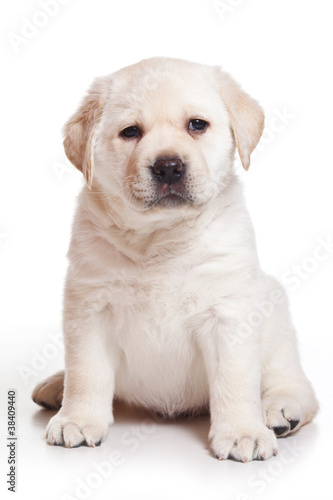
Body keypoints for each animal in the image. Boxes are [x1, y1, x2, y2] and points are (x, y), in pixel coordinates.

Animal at [32, 57, 318, 460]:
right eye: (130, 132)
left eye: (197, 125)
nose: (168, 166)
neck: (160, 237)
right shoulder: (89, 306)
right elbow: (86, 371)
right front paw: (79, 418)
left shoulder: (229, 312)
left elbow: (235, 378)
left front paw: (242, 432)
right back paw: (56, 387)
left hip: (276, 320)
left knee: (294, 383)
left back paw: (279, 410)